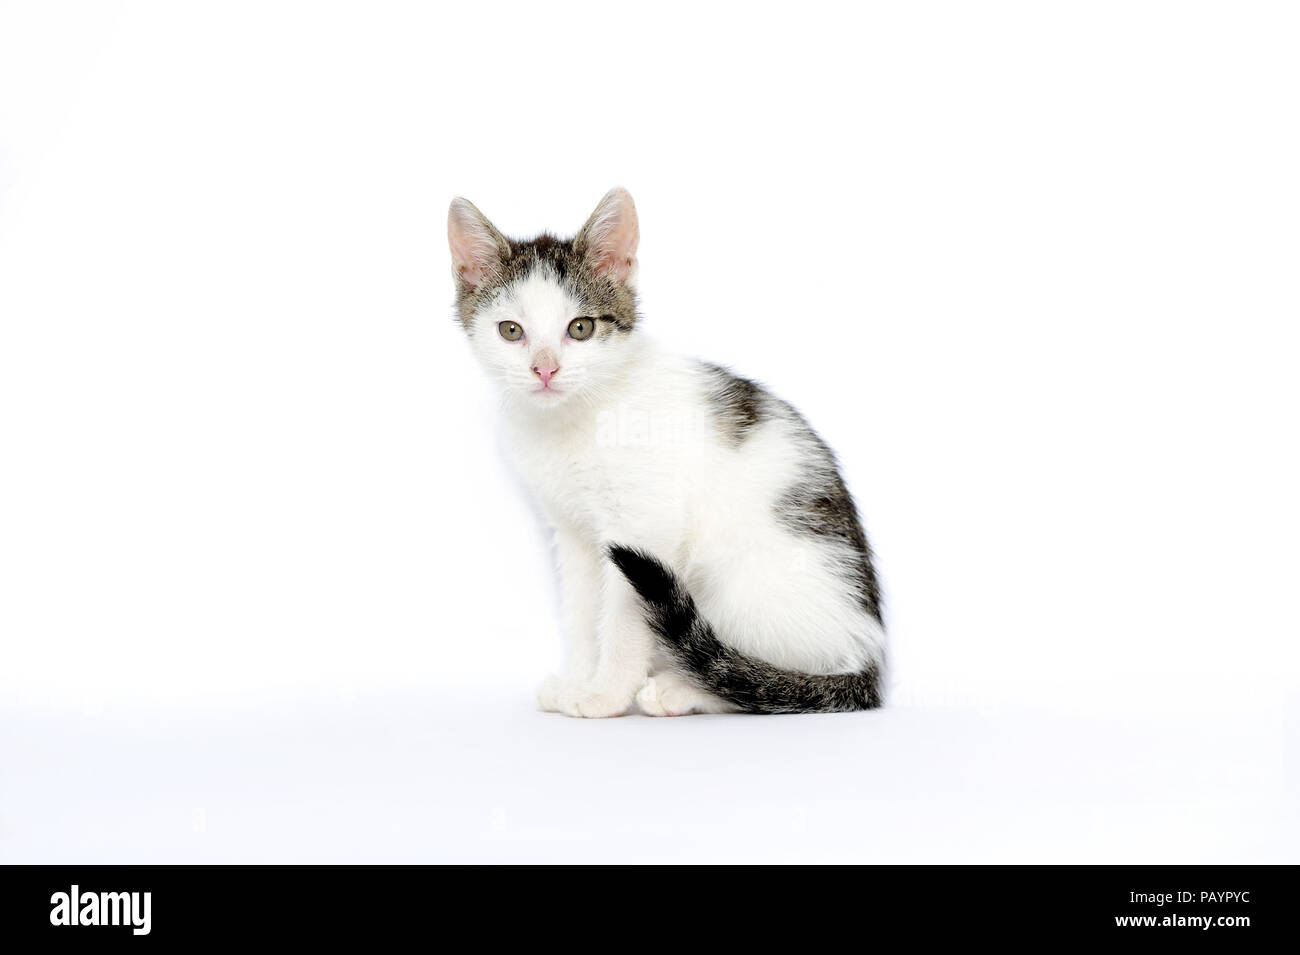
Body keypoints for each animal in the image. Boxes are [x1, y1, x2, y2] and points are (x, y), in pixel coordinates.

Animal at [447, 188, 883, 717]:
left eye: (581, 328)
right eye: (511, 331)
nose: (544, 370)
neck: (577, 416)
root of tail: (868, 655)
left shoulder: (642, 527)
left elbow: (623, 619)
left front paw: (606, 694)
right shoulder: (573, 533)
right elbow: (581, 613)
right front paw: (578, 680)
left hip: (739, 579)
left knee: (753, 680)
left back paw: (679, 689)